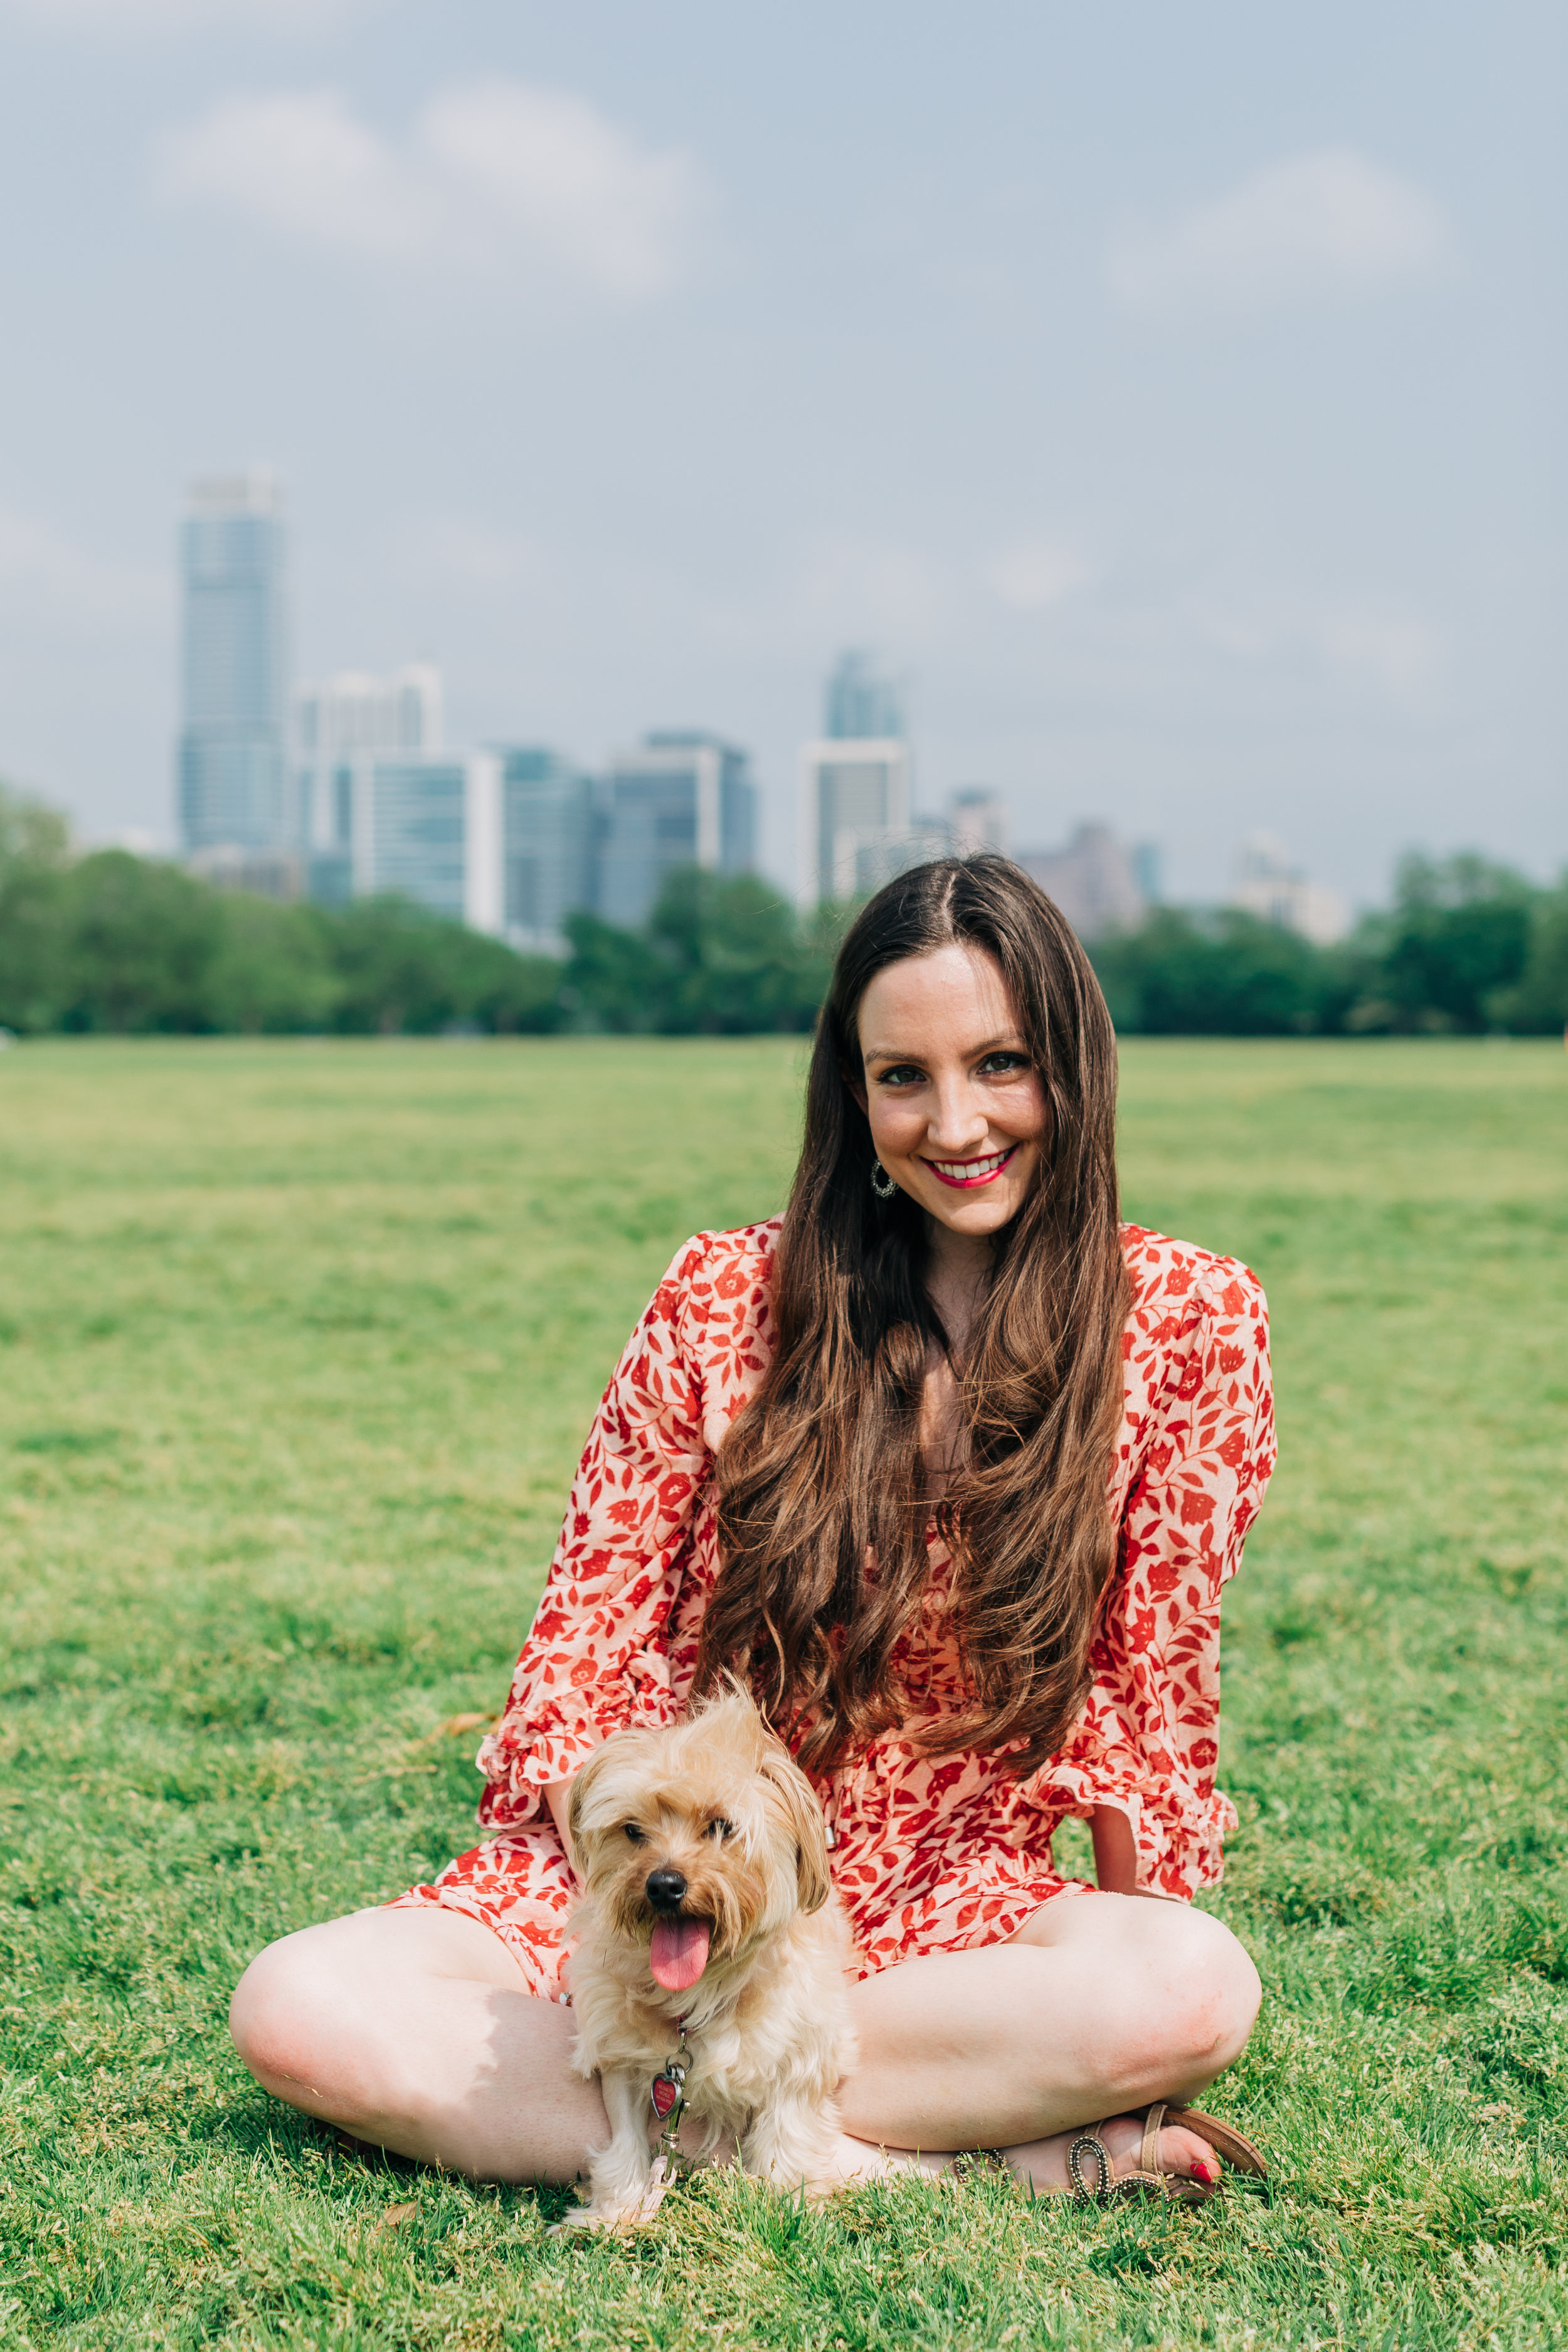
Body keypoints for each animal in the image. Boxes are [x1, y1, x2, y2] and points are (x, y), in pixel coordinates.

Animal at [561, 1693, 860, 2220]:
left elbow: (788, 2129)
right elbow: (626, 2139)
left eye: (722, 1827)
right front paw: (617, 2213)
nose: (663, 1885)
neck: (704, 1987)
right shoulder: (619, 2055)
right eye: (632, 1830)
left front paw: (790, 2201)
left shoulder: (804, 2052)